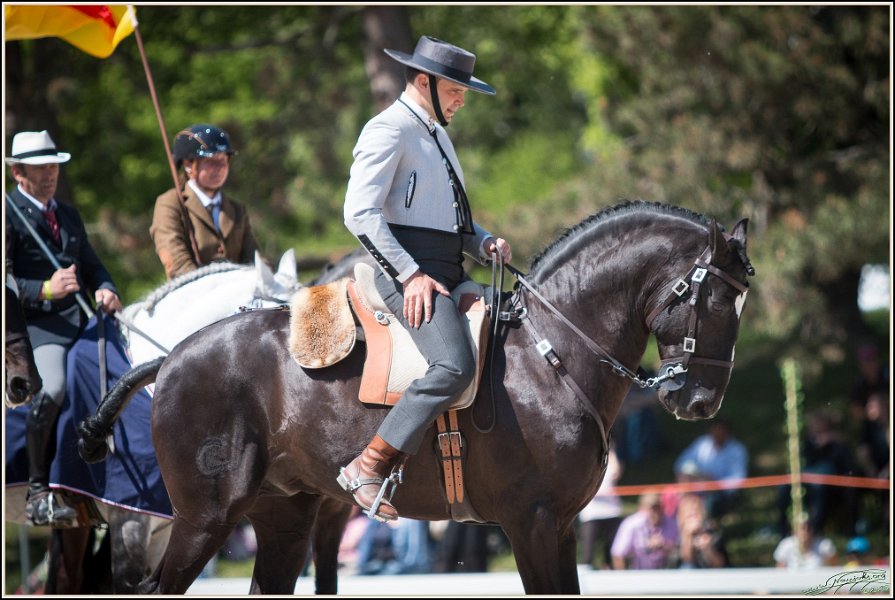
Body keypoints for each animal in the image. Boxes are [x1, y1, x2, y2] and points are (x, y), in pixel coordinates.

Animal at [80, 201, 755, 594]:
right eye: (718, 298)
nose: (700, 402)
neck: (551, 354)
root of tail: (172, 357)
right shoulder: (532, 524)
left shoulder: (561, 528)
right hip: (204, 517)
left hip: (282, 518)